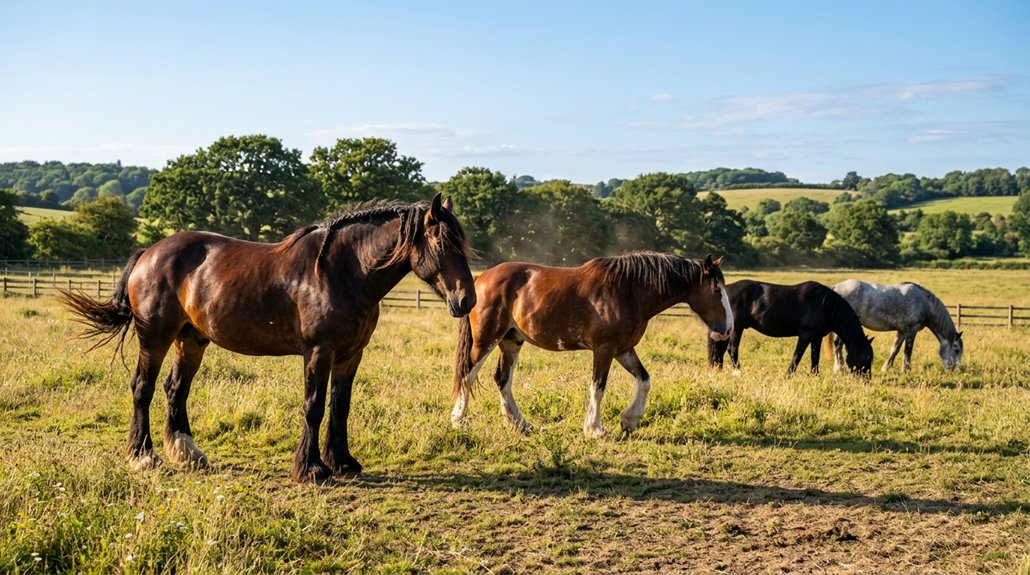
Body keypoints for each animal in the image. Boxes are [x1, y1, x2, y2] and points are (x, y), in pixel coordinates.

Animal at [60, 194, 475, 483]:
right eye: (442, 244)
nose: (466, 300)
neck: (342, 271)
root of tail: (150, 252)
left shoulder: (350, 355)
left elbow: (340, 407)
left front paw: (343, 462)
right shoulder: (319, 352)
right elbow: (314, 406)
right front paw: (312, 468)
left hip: (191, 340)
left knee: (175, 389)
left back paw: (188, 452)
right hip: (155, 337)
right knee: (142, 388)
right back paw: (142, 455)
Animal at [450, 253, 733, 438]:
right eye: (716, 290)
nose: (728, 330)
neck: (628, 291)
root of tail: (480, 279)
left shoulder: (623, 350)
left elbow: (644, 380)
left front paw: (629, 420)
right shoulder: (604, 350)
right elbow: (598, 387)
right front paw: (594, 428)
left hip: (511, 340)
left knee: (503, 379)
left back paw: (520, 424)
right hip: (486, 339)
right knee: (468, 374)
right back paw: (458, 418)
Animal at [707, 280, 873, 375]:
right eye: (867, 357)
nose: (866, 380)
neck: (825, 304)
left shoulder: (817, 337)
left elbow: (815, 356)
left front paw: (815, 375)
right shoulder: (806, 334)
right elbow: (797, 355)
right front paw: (789, 374)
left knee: (720, 350)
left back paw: (719, 370)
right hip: (737, 328)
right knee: (731, 349)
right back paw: (737, 371)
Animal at [830, 279, 962, 372]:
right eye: (956, 349)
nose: (954, 369)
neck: (925, 304)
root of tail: (836, 287)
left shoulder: (902, 331)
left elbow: (895, 349)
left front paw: (886, 368)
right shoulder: (911, 331)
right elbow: (908, 351)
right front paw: (906, 370)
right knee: (838, 346)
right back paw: (840, 369)